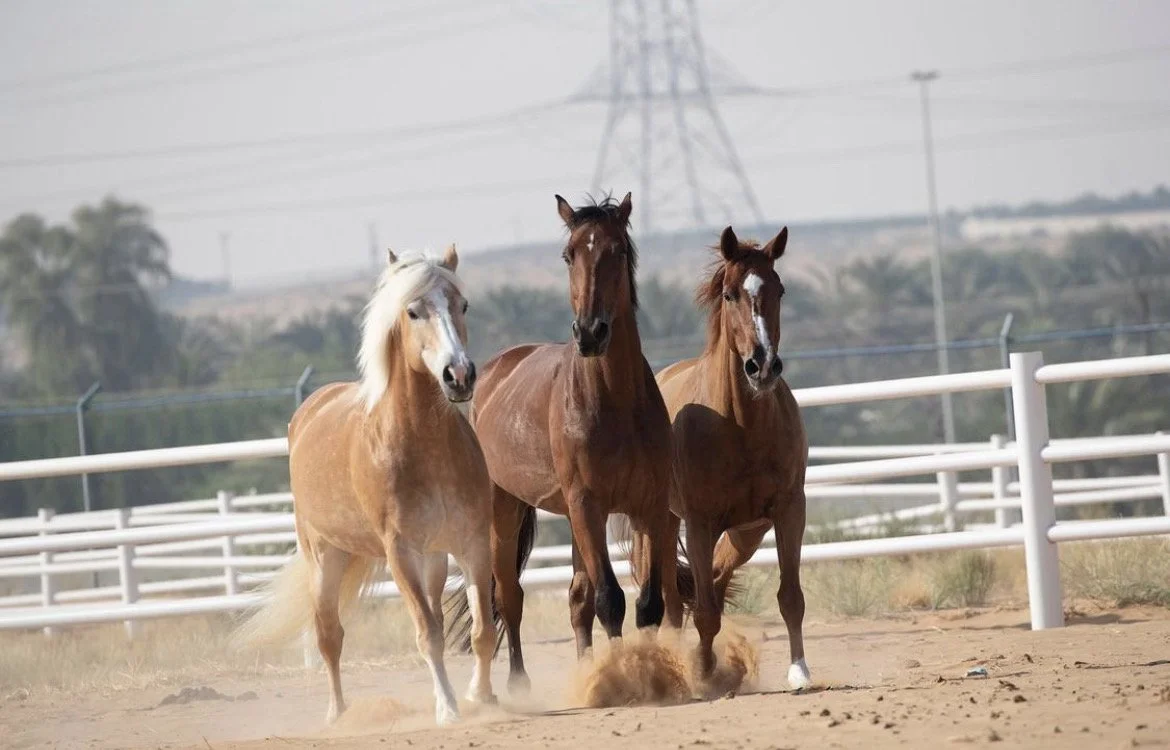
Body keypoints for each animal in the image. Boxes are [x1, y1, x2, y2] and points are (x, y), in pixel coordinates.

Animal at [235, 246, 497, 726]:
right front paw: (449, 709)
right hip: (325, 559)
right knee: (328, 636)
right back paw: (337, 714)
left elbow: (481, 630)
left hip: (433, 560)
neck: (425, 448)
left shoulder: (471, 543)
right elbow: (428, 635)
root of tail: (308, 411)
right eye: (412, 311)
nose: (459, 375)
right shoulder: (400, 554)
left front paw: (483, 697)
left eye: (463, 305)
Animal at [447, 192, 676, 693]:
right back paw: (517, 680)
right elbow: (611, 599)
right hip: (505, 511)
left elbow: (648, 603)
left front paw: (654, 672)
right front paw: (622, 676)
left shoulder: (647, 506)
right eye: (569, 254)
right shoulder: (587, 504)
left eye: (618, 251)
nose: (590, 332)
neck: (614, 401)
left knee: (576, 599)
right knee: (510, 596)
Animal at [656, 225, 812, 690]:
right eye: (729, 294)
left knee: (716, 580)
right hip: (663, 525)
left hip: (748, 531)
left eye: (779, 289)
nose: (762, 366)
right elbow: (705, 611)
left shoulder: (789, 510)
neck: (739, 425)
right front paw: (703, 673)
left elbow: (790, 598)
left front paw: (799, 670)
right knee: (674, 601)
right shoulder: (698, 524)